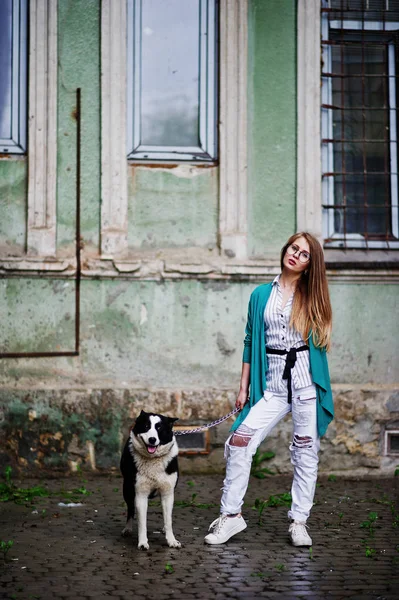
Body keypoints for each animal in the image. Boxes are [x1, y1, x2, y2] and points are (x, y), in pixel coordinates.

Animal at [119, 410, 181, 552]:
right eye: (146, 426)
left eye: (159, 428)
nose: (152, 439)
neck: (153, 459)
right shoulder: (140, 494)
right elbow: (142, 523)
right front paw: (142, 543)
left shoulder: (168, 493)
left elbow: (168, 520)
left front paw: (172, 541)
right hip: (127, 489)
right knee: (130, 509)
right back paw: (127, 528)